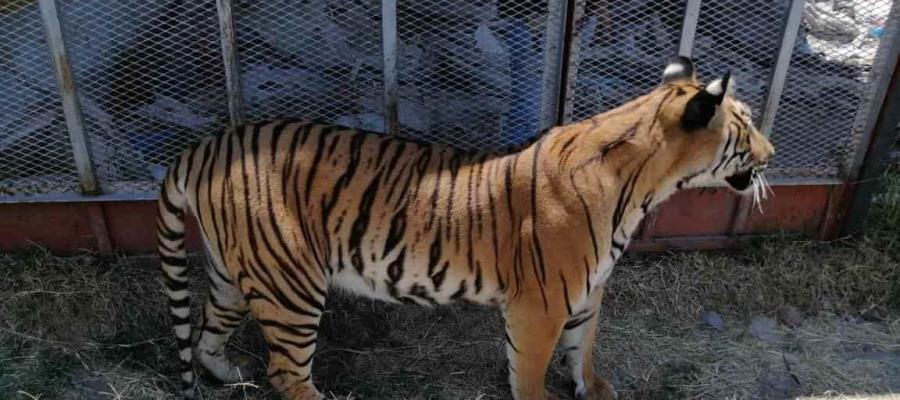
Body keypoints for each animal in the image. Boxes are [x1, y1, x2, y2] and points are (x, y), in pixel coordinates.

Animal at [156, 55, 775, 400]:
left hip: (236, 272)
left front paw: (594, 388)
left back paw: (228, 371)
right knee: (287, 373)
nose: (772, 154)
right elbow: (530, 373)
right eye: (745, 124)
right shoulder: (539, 305)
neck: (646, 185)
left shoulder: (588, 291)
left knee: (208, 331)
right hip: (290, 284)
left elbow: (584, 348)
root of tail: (205, 145)